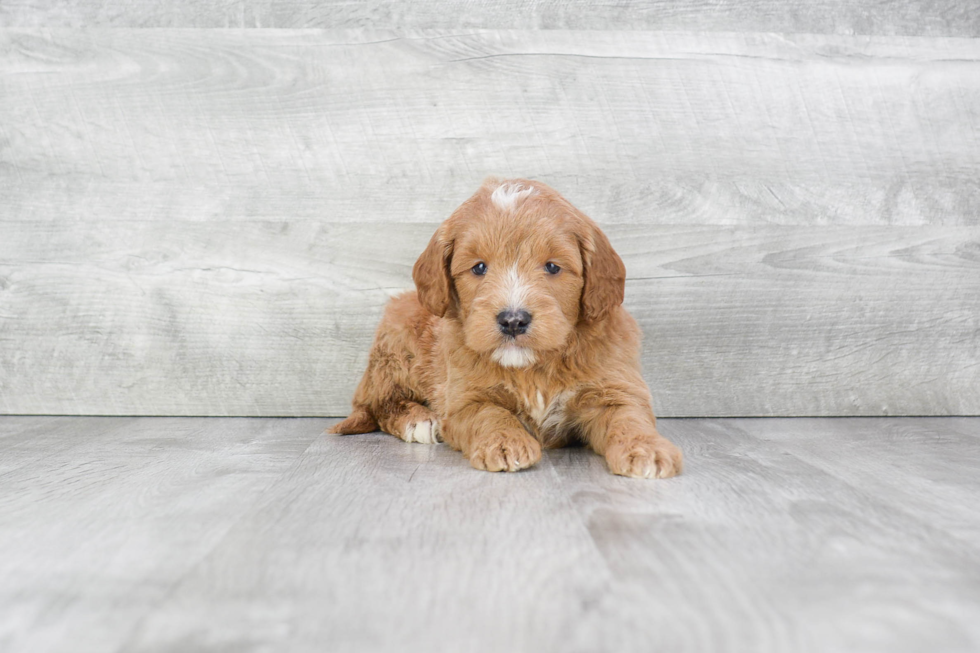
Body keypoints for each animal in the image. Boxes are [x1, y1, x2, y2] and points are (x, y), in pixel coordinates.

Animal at [330, 178, 680, 478]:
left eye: (552, 267)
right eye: (478, 268)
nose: (513, 320)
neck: (534, 366)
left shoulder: (614, 388)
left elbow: (629, 417)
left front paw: (646, 449)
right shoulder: (463, 400)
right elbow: (490, 414)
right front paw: (504, 442)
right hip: (397, 344)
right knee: (377, 404)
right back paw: (419, 420)